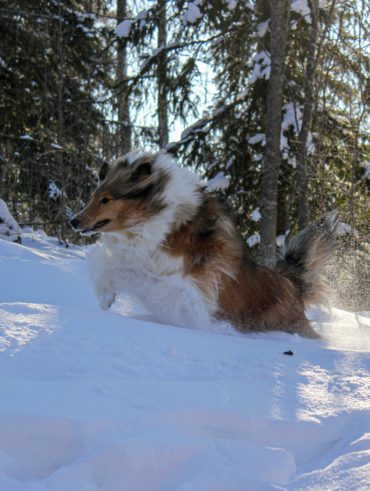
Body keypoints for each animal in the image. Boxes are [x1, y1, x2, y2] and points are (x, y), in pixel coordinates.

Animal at [70, 153, 338, 338]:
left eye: (106, 199)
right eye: (94, 196)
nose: (73, 221)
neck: (161, 216)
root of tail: (291, 285)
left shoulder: (189, 279)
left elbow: (155, 286)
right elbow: (106, 262)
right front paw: (105, 297)